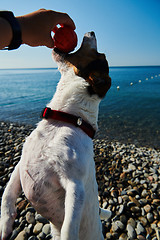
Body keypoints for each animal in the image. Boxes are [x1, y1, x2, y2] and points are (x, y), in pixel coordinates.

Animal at [0, 31, 111, 240]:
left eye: (101, 55)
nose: (92, 32)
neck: (65, 119)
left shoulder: (75, 186)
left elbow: (69, 229)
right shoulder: (21, 164)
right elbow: (7, 192)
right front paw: (5, 223)